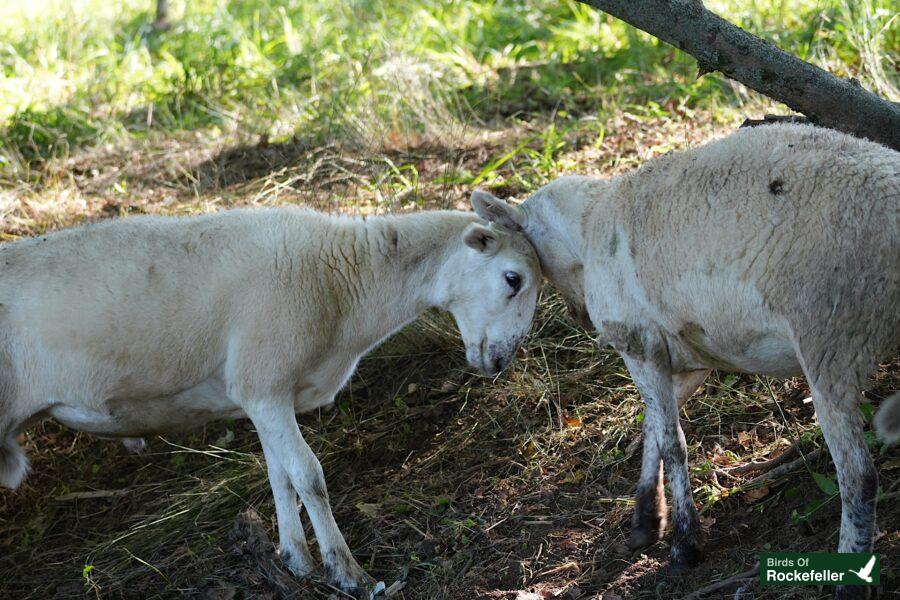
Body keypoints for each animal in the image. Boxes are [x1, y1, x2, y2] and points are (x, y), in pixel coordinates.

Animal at [0, 205, 540, 596]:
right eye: (513, 278)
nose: (502, 362)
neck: (346, 281)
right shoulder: (265, 381)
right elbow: (310, 476)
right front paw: (350, 574)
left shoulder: (262, 394)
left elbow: (281, 477)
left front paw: (296, 560)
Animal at [472, 123, 900, 600]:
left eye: (521, 271)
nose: (579, 317)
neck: (588, 228)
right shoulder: (688, 355)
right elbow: (653, 427)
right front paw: (646, 520)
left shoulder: (638, 342)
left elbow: (673, 442)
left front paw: (684, 545)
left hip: (830, 334)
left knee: (859, 476)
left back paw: (850, 579)